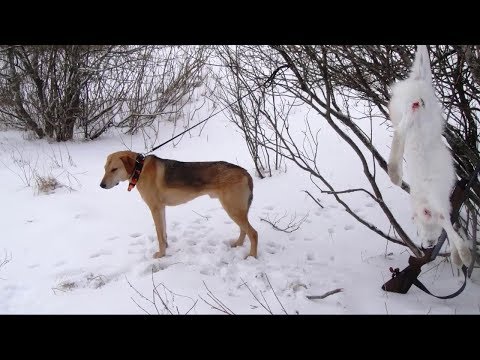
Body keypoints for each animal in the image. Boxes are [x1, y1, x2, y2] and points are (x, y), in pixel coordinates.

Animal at [98, 151, 258, 258]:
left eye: (114, 169)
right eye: (105, 169)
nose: (101, 185)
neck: (140, 168)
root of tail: (245, 173)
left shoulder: (155, 209)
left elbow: (159, 235)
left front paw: (161, 255)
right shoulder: (161, 209)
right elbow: (163, 233)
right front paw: (166, 248)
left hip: (233, 209)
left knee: (253, 233)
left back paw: (252, 256)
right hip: (236, 210)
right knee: (244, 231)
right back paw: (238, 244)